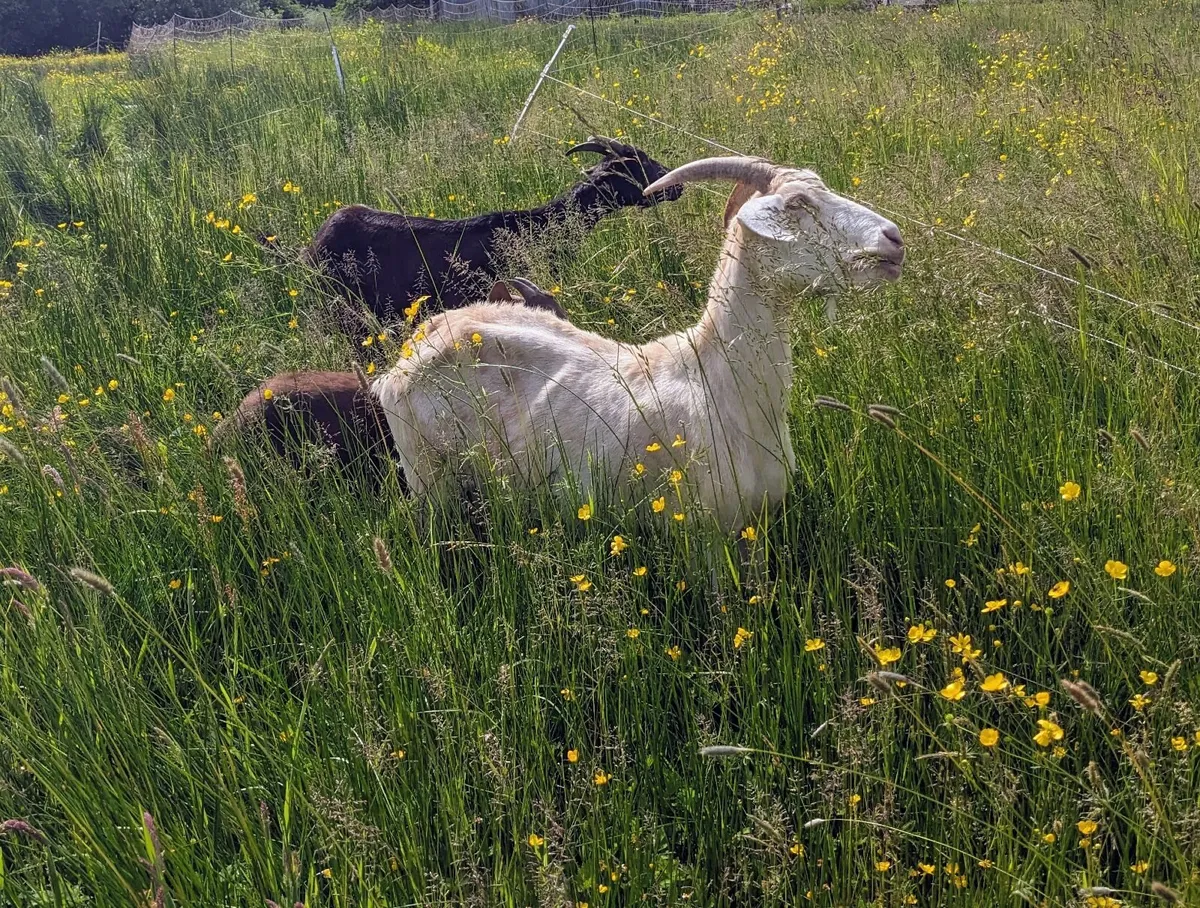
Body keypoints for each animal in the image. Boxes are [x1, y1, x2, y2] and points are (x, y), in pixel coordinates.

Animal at [373, 156, 905, 530]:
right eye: (797, 205)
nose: (894, 238)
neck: (718, 381)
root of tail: (414, 348)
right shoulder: (708, 536)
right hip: (430, 483)